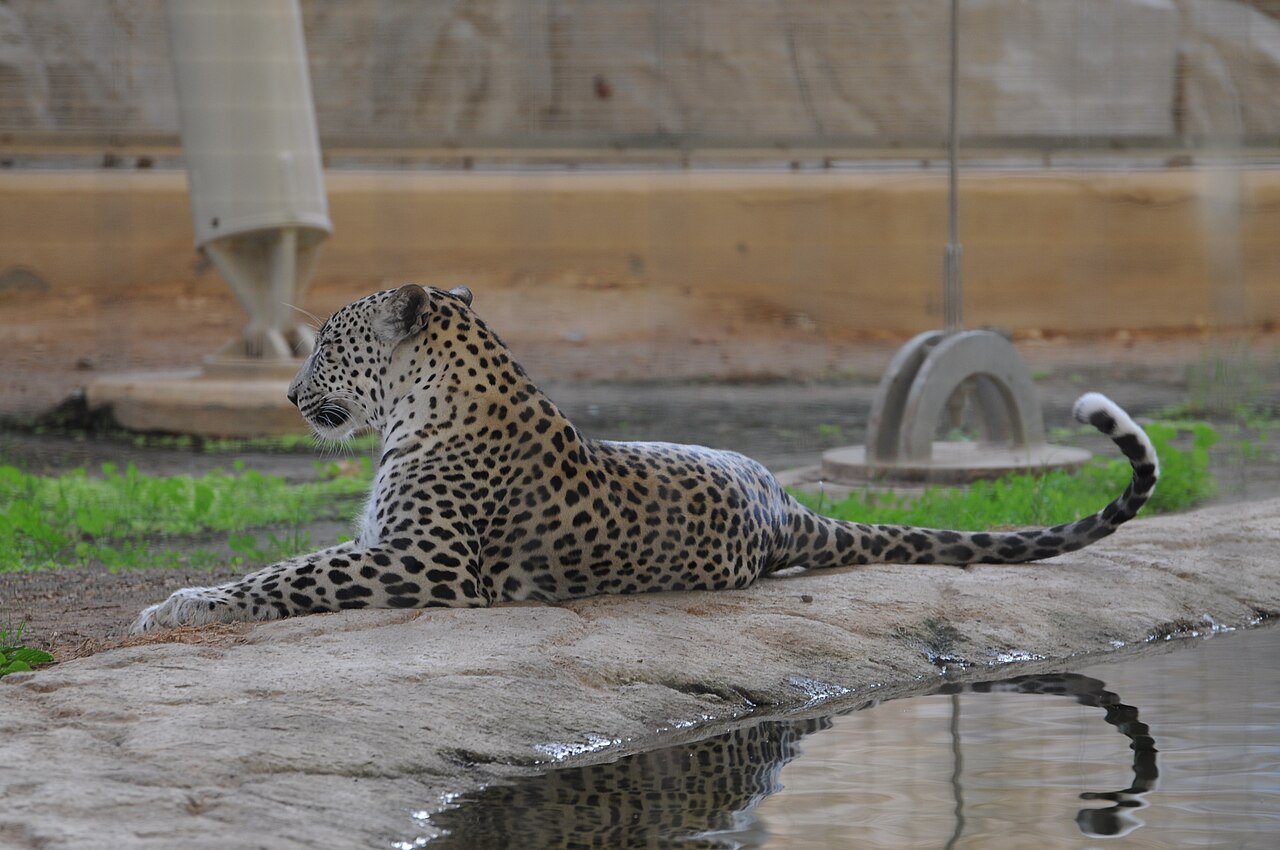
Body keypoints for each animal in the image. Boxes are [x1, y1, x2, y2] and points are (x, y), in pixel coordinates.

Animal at [131, 284, 1159, 633]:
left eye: (325, 343)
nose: (286, 395)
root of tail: (784, 504)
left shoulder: (427, 562)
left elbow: (292, 572)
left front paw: (182, 605)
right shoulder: (392, 547)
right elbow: (294, 560)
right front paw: (189, 597)